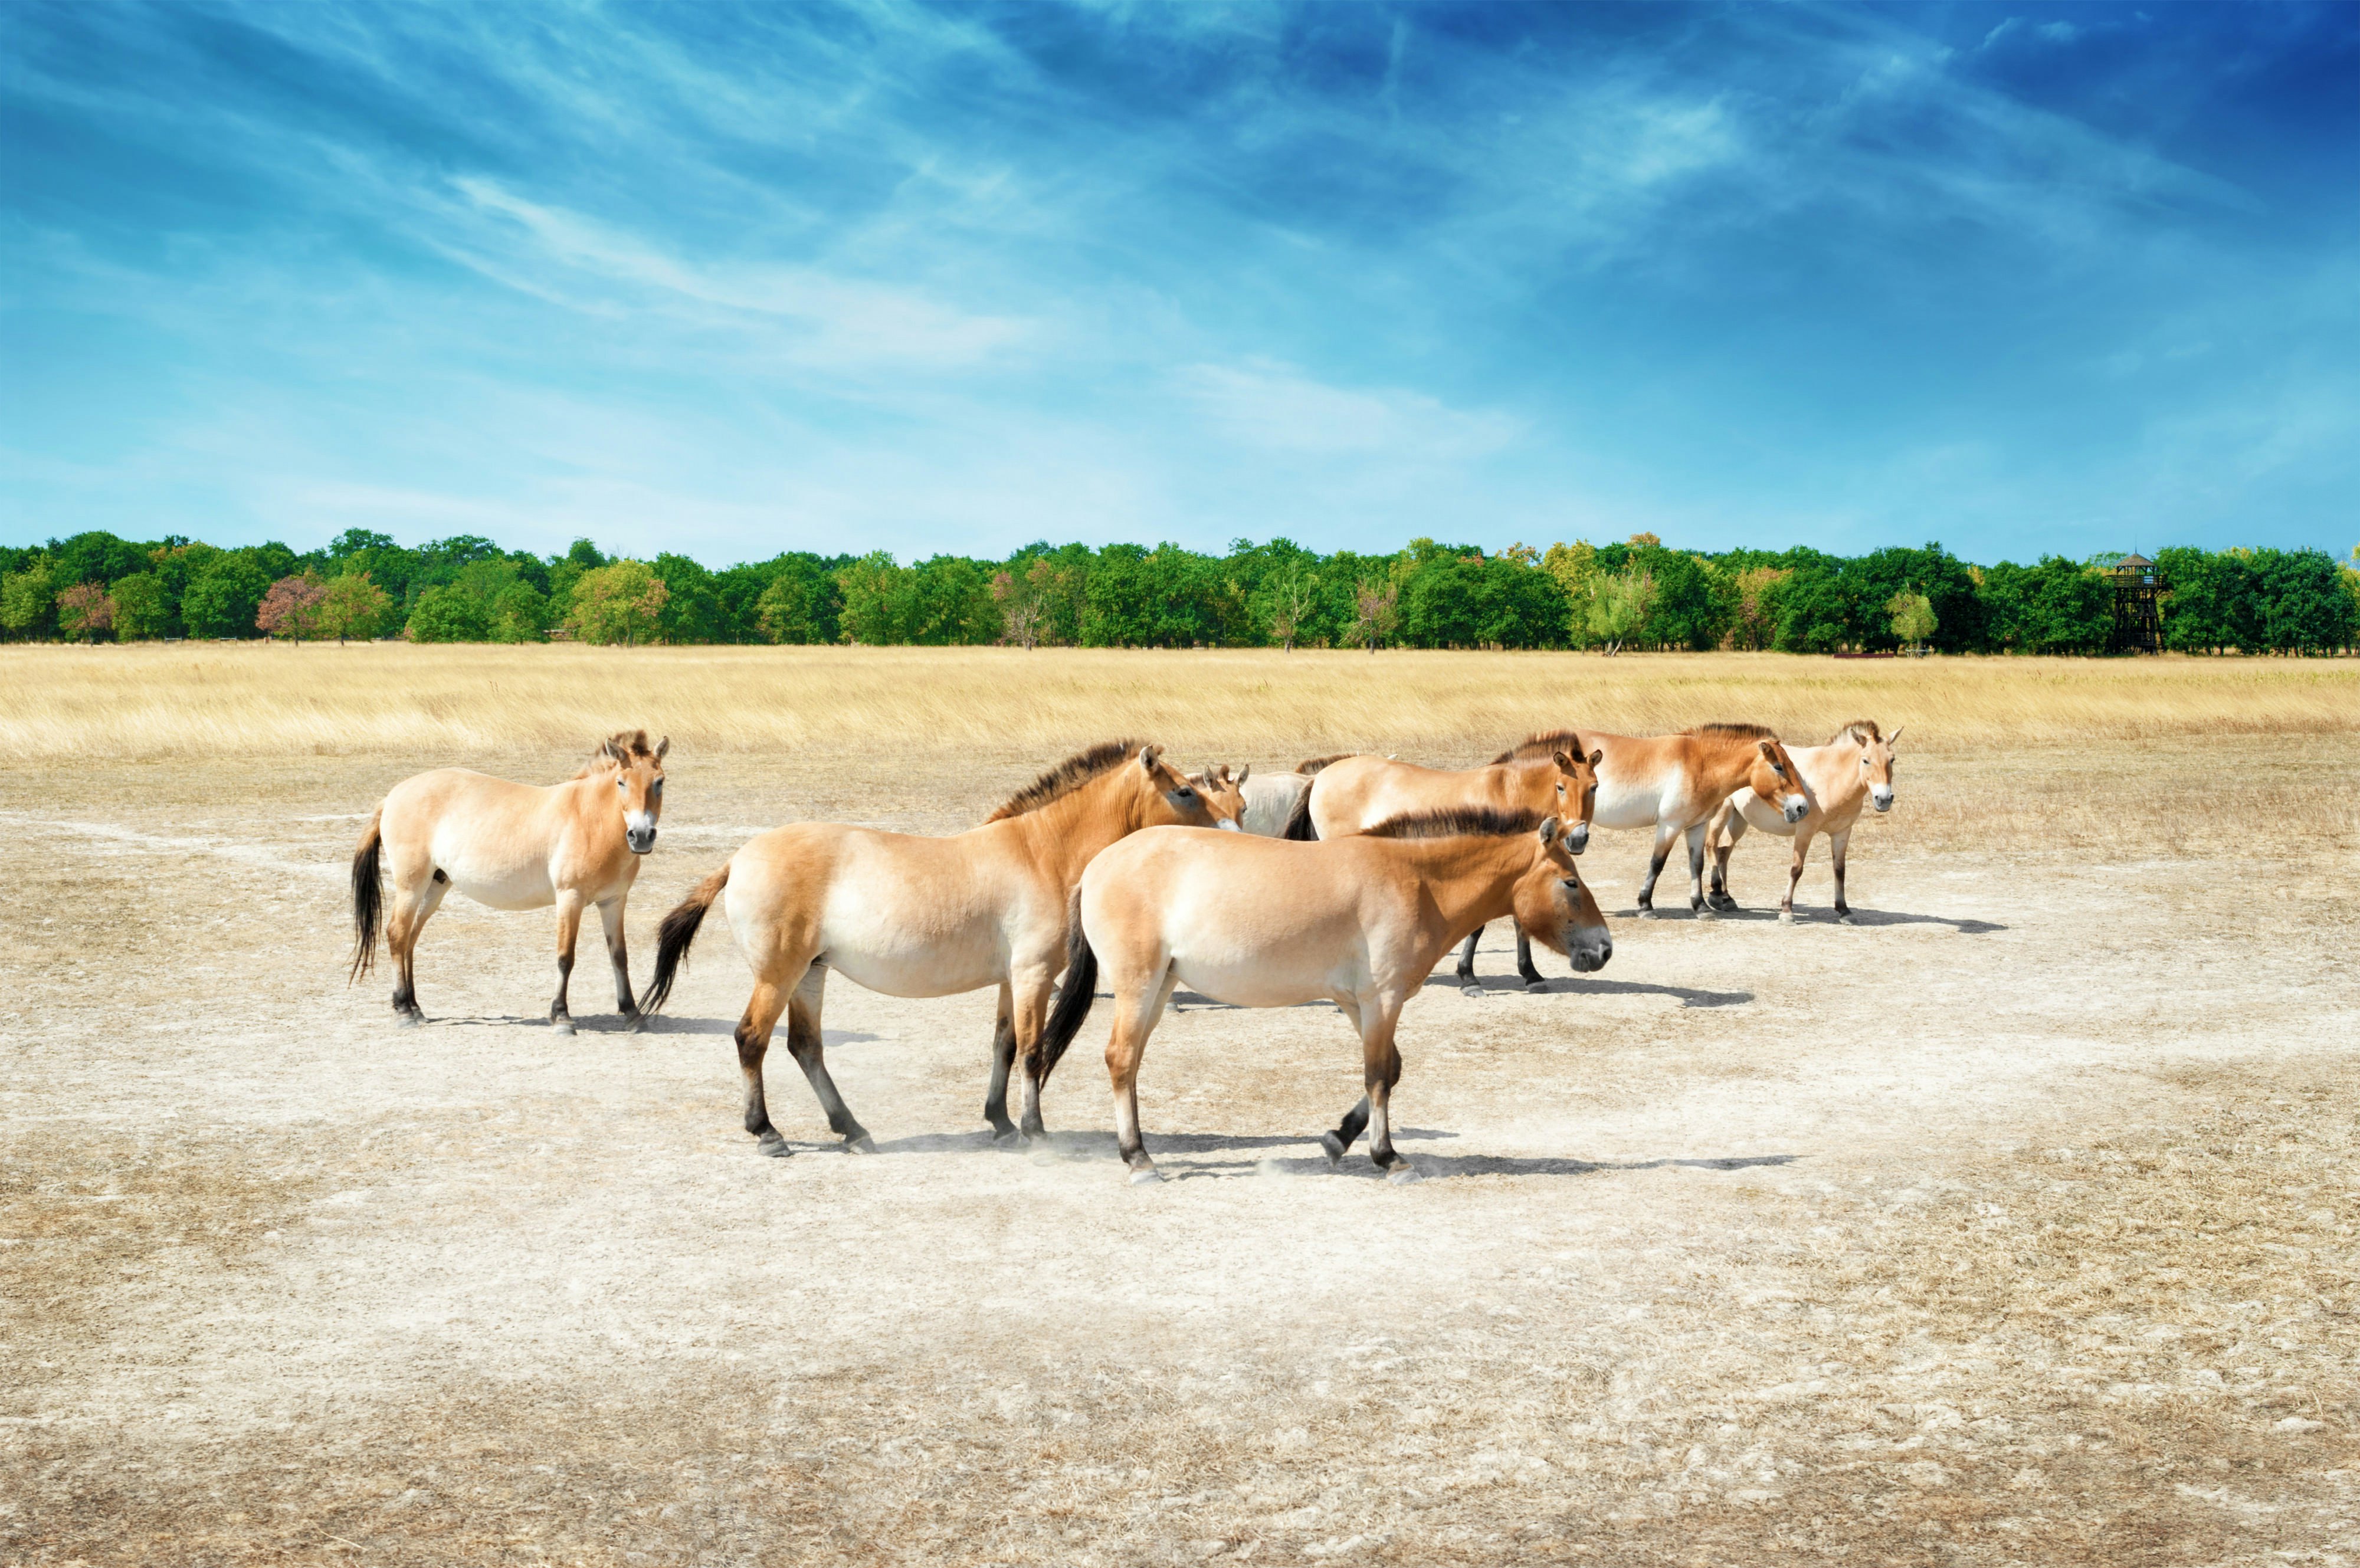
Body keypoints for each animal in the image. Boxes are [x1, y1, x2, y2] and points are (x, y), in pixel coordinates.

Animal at [349, 731, 670, 1029]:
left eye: (660, 781)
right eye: (621, 782)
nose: (641, 836)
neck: (591, 819)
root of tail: (393, 795)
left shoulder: (614, 902)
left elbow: (619, 956)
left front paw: (632, 1013)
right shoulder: (570, 898)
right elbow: (565, 957)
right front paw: (561, 1017)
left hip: (435, 886)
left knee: (411, 939)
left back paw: (416, 1008)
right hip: (411, 886)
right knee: (397, 934)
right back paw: (404, 1011)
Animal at [637, 741, 1246, 1157]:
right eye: (1185, 791)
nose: (1234, 834)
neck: (1041, 851)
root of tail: (738, 859)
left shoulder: (1012, 979)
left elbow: (1004, 1046)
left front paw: (1000, 1122)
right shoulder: (1033, 975)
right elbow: (1032, 1050)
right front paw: (1035, 1132)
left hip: (809, 974)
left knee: (805, 1048)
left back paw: (853, 1130)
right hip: (778, 975)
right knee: (751, 1040)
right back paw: (768, 1133)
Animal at [1038, 812, 1614, 1180]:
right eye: (1570, 883)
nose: (1605, 949)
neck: (1416, 881)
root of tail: (1097, 865)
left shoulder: (1359, 1003)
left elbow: (1390, 1071)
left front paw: (1338, 1140)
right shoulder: (1383, 1000)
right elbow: (1379, 1076)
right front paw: (1389, 1159)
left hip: (1159, 989)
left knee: (1130, 1064)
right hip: (1139, 987)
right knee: (1121, 1060)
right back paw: (1138, 1160)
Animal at [1293, 741, 1605, 987]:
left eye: (1594, 787)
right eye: (1560, 787)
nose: (1578, 839)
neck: (1508, 791)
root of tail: (1320, 776)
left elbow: (1521, 920)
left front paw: (1531, 975)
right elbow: (1478, 926)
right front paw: (1468, 977)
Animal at [1709, 717, 1888, 926]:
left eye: (1892, 760)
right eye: (1866, 760)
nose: (1885, 799)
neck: (1831, 777)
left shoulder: (1842, 832)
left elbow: (1840, 870)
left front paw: (1844, 910)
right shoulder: (1805, 831)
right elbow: (1797, 869)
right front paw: (1787, 911)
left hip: (1739, 819)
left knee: (1724, 851)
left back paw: (1726, 899)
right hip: (1721, 813)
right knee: (1712, 846)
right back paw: (1716, 896)